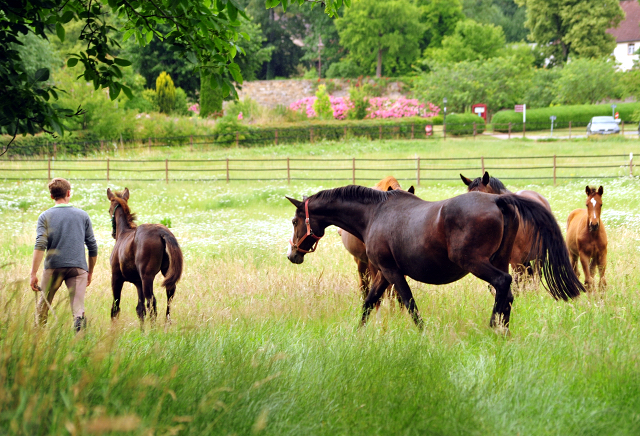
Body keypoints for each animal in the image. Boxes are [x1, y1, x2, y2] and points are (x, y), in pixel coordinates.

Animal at [107, 189, 182, 322]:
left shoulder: (116, 277)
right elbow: (140, 309)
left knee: (152, 301)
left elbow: (115, 307)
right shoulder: (138, 282)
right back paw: (166, 323)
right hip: (165, 274)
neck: (124, 233)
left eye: (108, 210)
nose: (113, 233)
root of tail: (161, 232)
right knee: (169, 295)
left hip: (147, 277)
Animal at [288, 185, 584, 330]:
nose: (292, 255)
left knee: (503, 284)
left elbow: (408, 303)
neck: (375, 214)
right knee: (508, 295)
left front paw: (423, 333)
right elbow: (369, 303)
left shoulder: (392, 272)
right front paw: (356, 334)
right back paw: (504, 330)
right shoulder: (383, 273)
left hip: (477, 263)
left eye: (294, 221)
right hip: (499, 260)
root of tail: (498, 201)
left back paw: (492, 328)